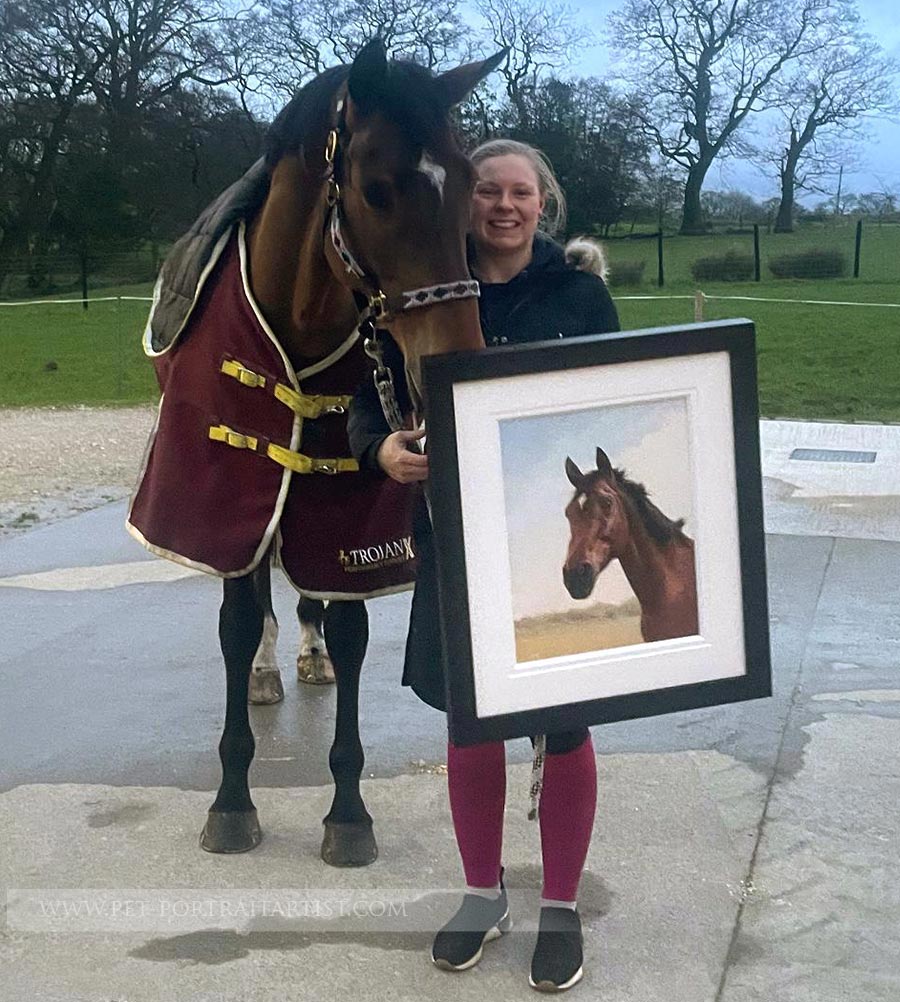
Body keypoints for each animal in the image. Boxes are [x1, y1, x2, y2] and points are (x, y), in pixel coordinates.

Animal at [128, 43, 505, 865]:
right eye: (375, 189)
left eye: (468, 183)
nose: (454, 363)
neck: (297, 318)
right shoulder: (226, 489)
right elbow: (236, 622)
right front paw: (232, 800)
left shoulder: (350, 509)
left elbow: (352, 628)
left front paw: (349, 811)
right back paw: (270, 667)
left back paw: (308, 653)